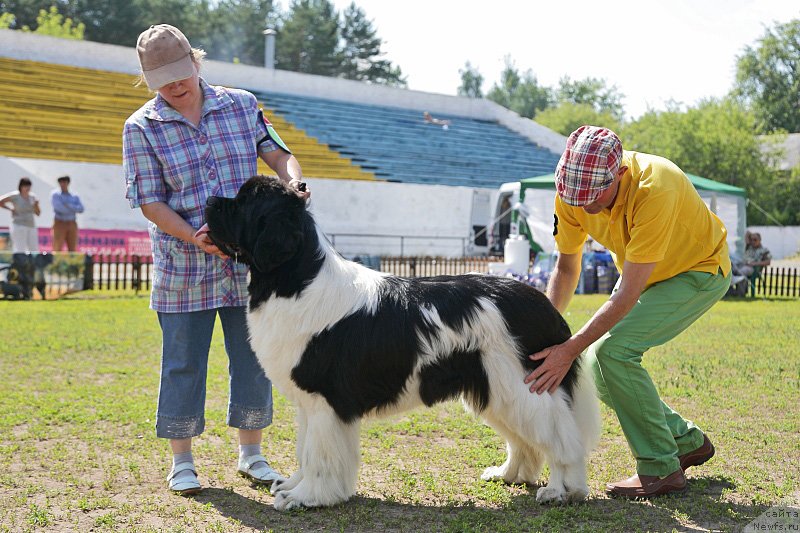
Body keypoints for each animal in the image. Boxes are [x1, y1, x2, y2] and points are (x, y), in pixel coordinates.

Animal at [206, 177, 600, 510]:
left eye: (245, 201)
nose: (208, 200)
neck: (295, 281)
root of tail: (543, 303)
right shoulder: (309, 405)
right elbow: (305, 450)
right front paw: (293, 486)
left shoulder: (324, 401)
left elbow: (319, 454)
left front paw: (307, 497)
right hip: (497, 390)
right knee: (526, 440)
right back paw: (509, 474)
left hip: (525, 386)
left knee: (563, 439)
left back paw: (564, 490)